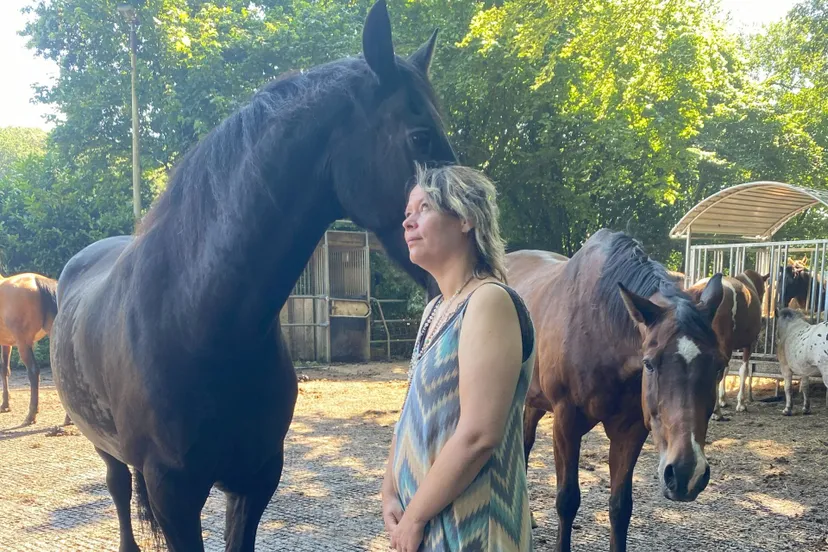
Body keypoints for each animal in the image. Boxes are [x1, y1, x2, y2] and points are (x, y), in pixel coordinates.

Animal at [0, 271, 58, 425]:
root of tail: (37, 281)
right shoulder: (6, 343)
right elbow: (5, 370)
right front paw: (5, 405)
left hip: (23, 343)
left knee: (33, 371)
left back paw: (31, 414)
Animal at [49, 2, 456, 550]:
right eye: (419, 137)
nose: (480, 245)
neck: (197, 321)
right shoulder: (174, 494)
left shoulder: (256, 479)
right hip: (105, 446)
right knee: (116, 487)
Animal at [507, 230, 725, 552]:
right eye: (649, 364)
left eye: (720, 365)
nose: (687, 472)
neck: (600, 326)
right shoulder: (566, 421)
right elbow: (567, 500)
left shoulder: (631, 429)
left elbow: (621, 507)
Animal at [686, 270, 768, 418]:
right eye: (764, 290)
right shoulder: (749, 344)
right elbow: (743, 370)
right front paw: (741, 403)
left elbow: (727, 370)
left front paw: (723, 399)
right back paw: (716, 412)